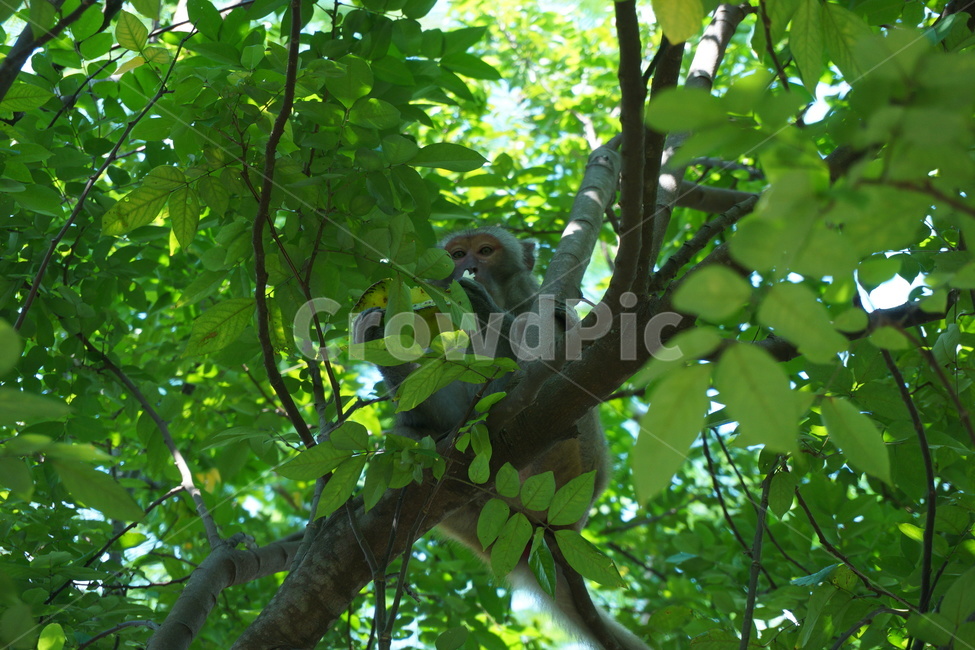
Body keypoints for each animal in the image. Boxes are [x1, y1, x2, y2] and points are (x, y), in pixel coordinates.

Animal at [353, 227, 650, 650]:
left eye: (485, 251)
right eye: (457, 254)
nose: (469, 268)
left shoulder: (534, 296)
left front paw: (487, 310)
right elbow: (429, 405)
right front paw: (374, 333)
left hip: (569, 462)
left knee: (545, 343)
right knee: (411, 430)